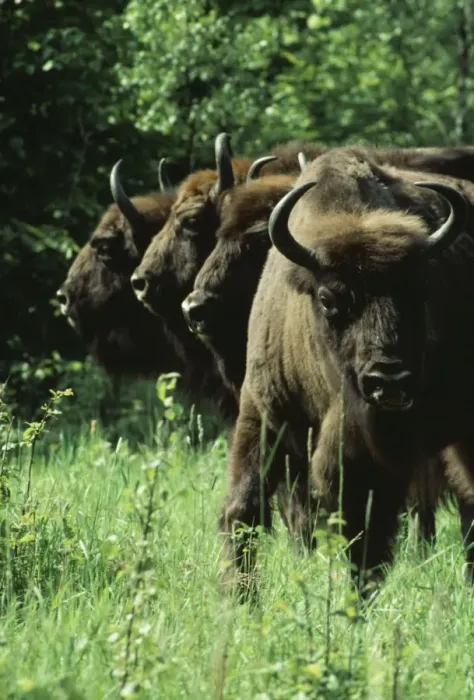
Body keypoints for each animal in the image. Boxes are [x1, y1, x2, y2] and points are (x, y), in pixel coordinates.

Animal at [220, 147, 474, 597]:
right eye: (328, 298)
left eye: (419, 293)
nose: (388, 381)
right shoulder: (262, 413)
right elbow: (243, 509)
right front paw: (240, 599)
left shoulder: (368, 454)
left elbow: (366, 538)